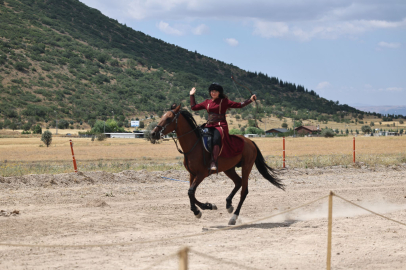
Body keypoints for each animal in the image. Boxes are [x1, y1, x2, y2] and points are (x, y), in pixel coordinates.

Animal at [151, 104, 284, 225]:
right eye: (162, 117)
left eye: (168, 118)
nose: (153, 133)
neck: (194, 145)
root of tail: (250, 141)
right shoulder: (192, 174)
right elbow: (190, 193)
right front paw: (205, 207)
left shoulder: (201, 174)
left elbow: (190, 192)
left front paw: (202, 208)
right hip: (229, 169)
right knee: (238, 182)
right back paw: (228, 204)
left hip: (246, 167)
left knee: (244, 191)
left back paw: (233, 217)